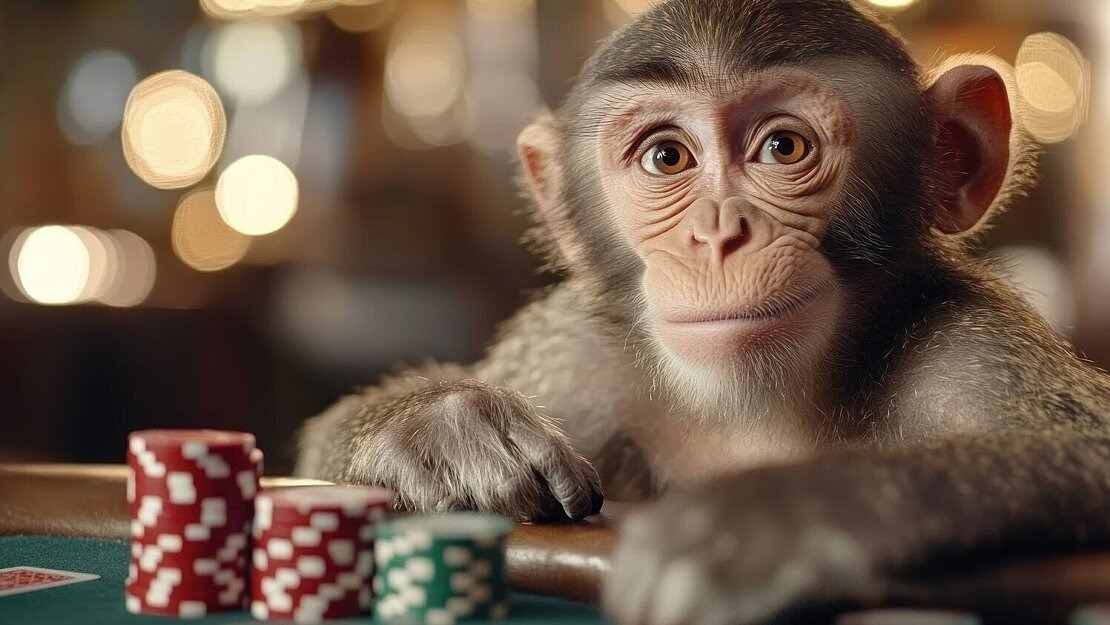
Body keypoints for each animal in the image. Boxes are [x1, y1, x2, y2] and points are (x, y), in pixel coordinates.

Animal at [296, 0, 1110, 623]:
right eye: (667, 158)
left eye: (784, 147)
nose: (719, 233)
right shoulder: (576, 351)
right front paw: (440, 431)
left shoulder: (974, 345)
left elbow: (1088, 447)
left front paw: (785, 518)